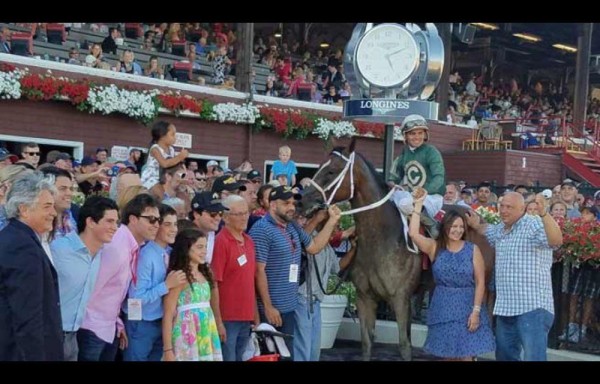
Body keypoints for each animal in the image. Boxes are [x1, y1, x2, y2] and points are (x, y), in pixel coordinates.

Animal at [302, 140, 494, 362]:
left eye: (331, 171)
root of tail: (481, 220)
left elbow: (404, 345)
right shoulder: (364, 297)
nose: (301, 199)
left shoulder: (401, 298)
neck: (381, 237)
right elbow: (367, 343)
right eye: (319, 167)